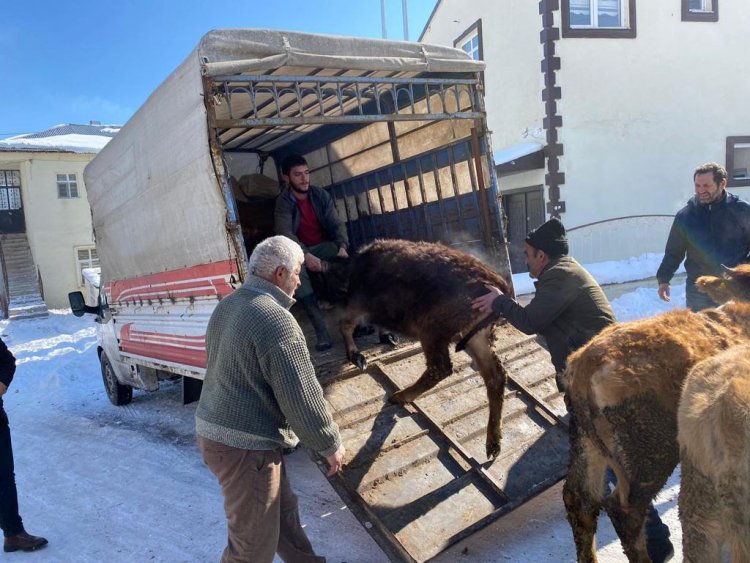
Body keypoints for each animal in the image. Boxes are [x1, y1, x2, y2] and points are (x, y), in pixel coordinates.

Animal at [338, 240, 516, 460]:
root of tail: (498, 285)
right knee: (495, 375)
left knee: (441, 369)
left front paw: (356, 356)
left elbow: (345, 324)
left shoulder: (359, 304)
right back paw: (493, 444)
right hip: (477, 337)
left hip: (432, 333)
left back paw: (399, 396)